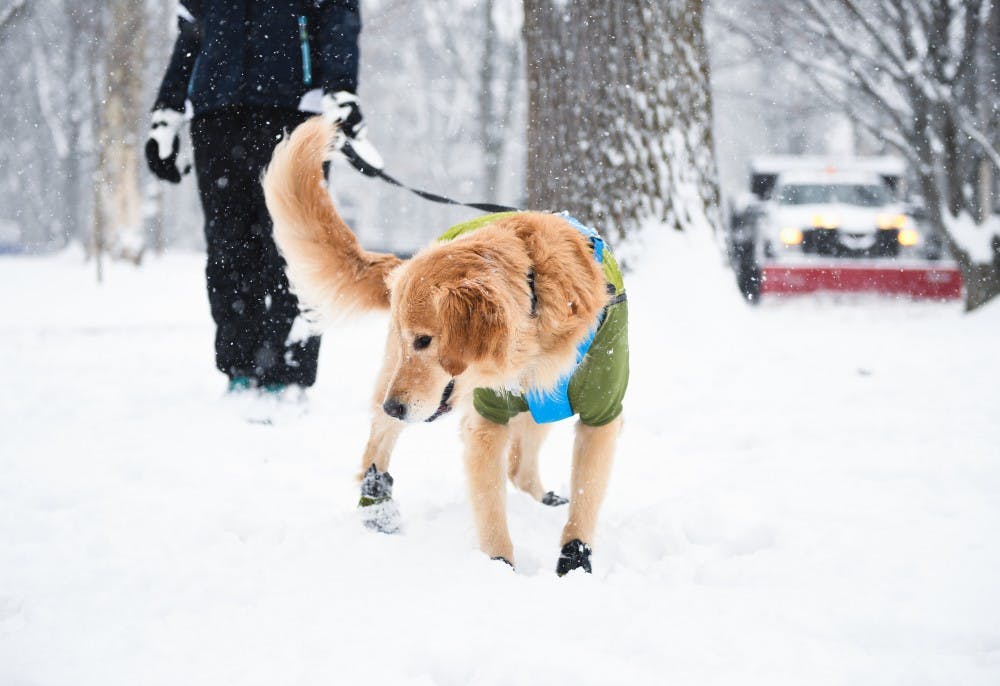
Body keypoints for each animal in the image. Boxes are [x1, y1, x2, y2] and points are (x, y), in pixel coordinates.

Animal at [262, 118, 628, 576]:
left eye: (424, 340)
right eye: (410, 340)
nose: (395, 406)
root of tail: (406, 260)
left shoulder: (600, 411)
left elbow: (585, 498)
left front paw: (575, 560)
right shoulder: (485, 419)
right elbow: (490, 509)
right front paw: (499, 566)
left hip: (531, 406)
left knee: (520, 466)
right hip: (395, 387)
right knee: (376, 446)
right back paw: (377, 504)